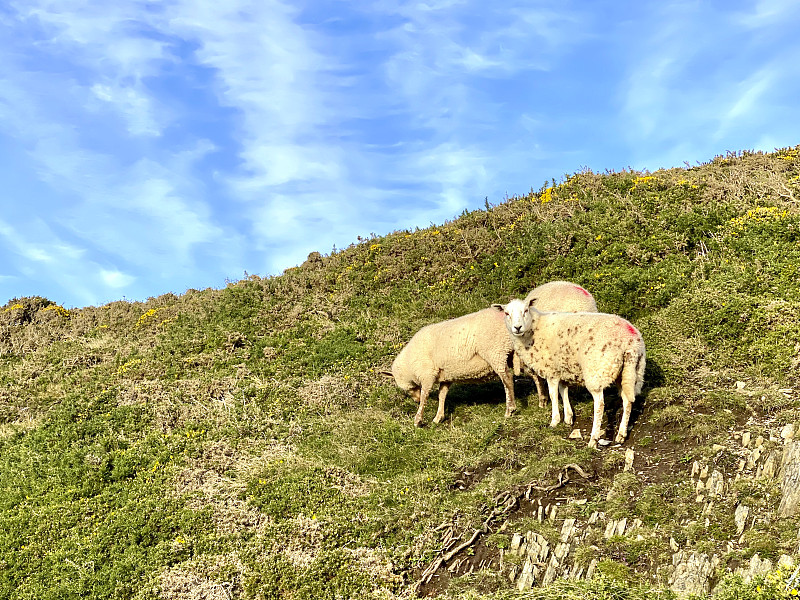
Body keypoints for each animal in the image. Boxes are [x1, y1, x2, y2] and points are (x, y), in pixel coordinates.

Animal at [496, 298, 648, 448]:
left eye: (526, 310)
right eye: (506, 313)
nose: (517, 327)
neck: (534, 329)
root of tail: (630, 341)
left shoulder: (551, 370)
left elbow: (553, 395)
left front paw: (554, 421)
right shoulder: (562, 369)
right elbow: (563, 391)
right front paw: (568, 417)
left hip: (596, 371)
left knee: (600, 405)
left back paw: (593, 439)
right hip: (629, 372)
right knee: (627, 400)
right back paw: (621, 434)